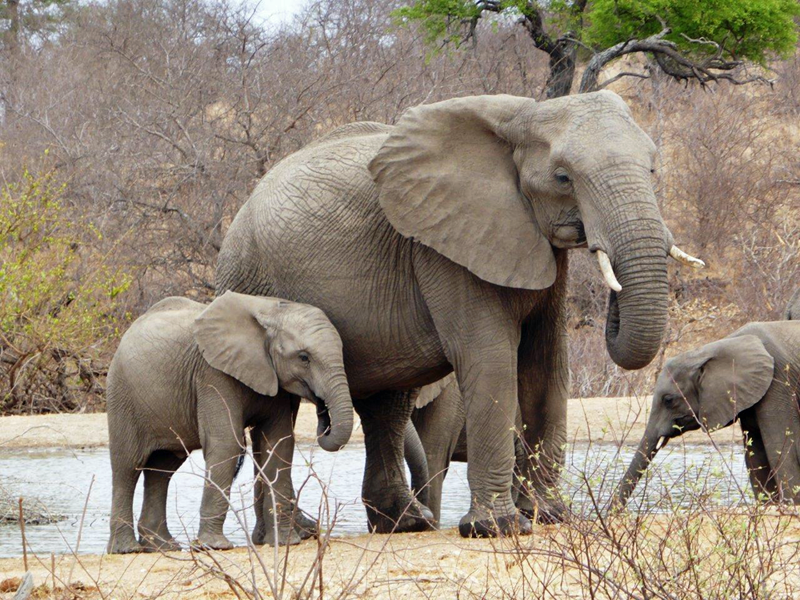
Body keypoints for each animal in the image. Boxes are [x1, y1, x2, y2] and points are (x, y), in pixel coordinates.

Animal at [106, 291, 354, 554]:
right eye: (304, 357)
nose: (321, 407)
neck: (271, 311)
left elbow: (278, 445)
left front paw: (285, 542)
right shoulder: (213, 373)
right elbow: (226, 444)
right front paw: (216, 546)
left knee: (162, 469)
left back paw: (164, 547)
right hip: (122, 394)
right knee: (127, 466)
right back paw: (126, 549)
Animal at [215, 91, 702, 537]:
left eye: (653, 169)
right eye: (563, 177)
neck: (522, 114)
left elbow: (546, 364)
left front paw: (550, 517)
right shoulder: (444, 247)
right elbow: (491, 359)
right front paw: (498, 528)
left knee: (389, 406)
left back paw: (403, 523)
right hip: (248, 277)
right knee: (280, 408)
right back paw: (293, 535)